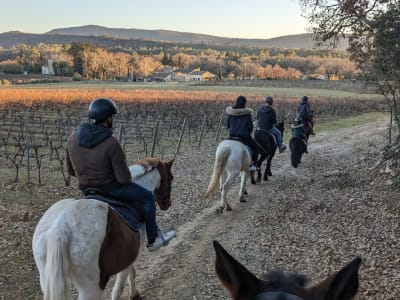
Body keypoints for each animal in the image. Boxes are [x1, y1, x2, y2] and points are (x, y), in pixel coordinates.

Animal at [31, 157, 173, 300]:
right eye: (170, 178)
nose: (167, 204)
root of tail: (60, 227)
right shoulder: (130, 257)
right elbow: (121, 285)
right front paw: (133, 294)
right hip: (90, 288)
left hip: (46, 278)